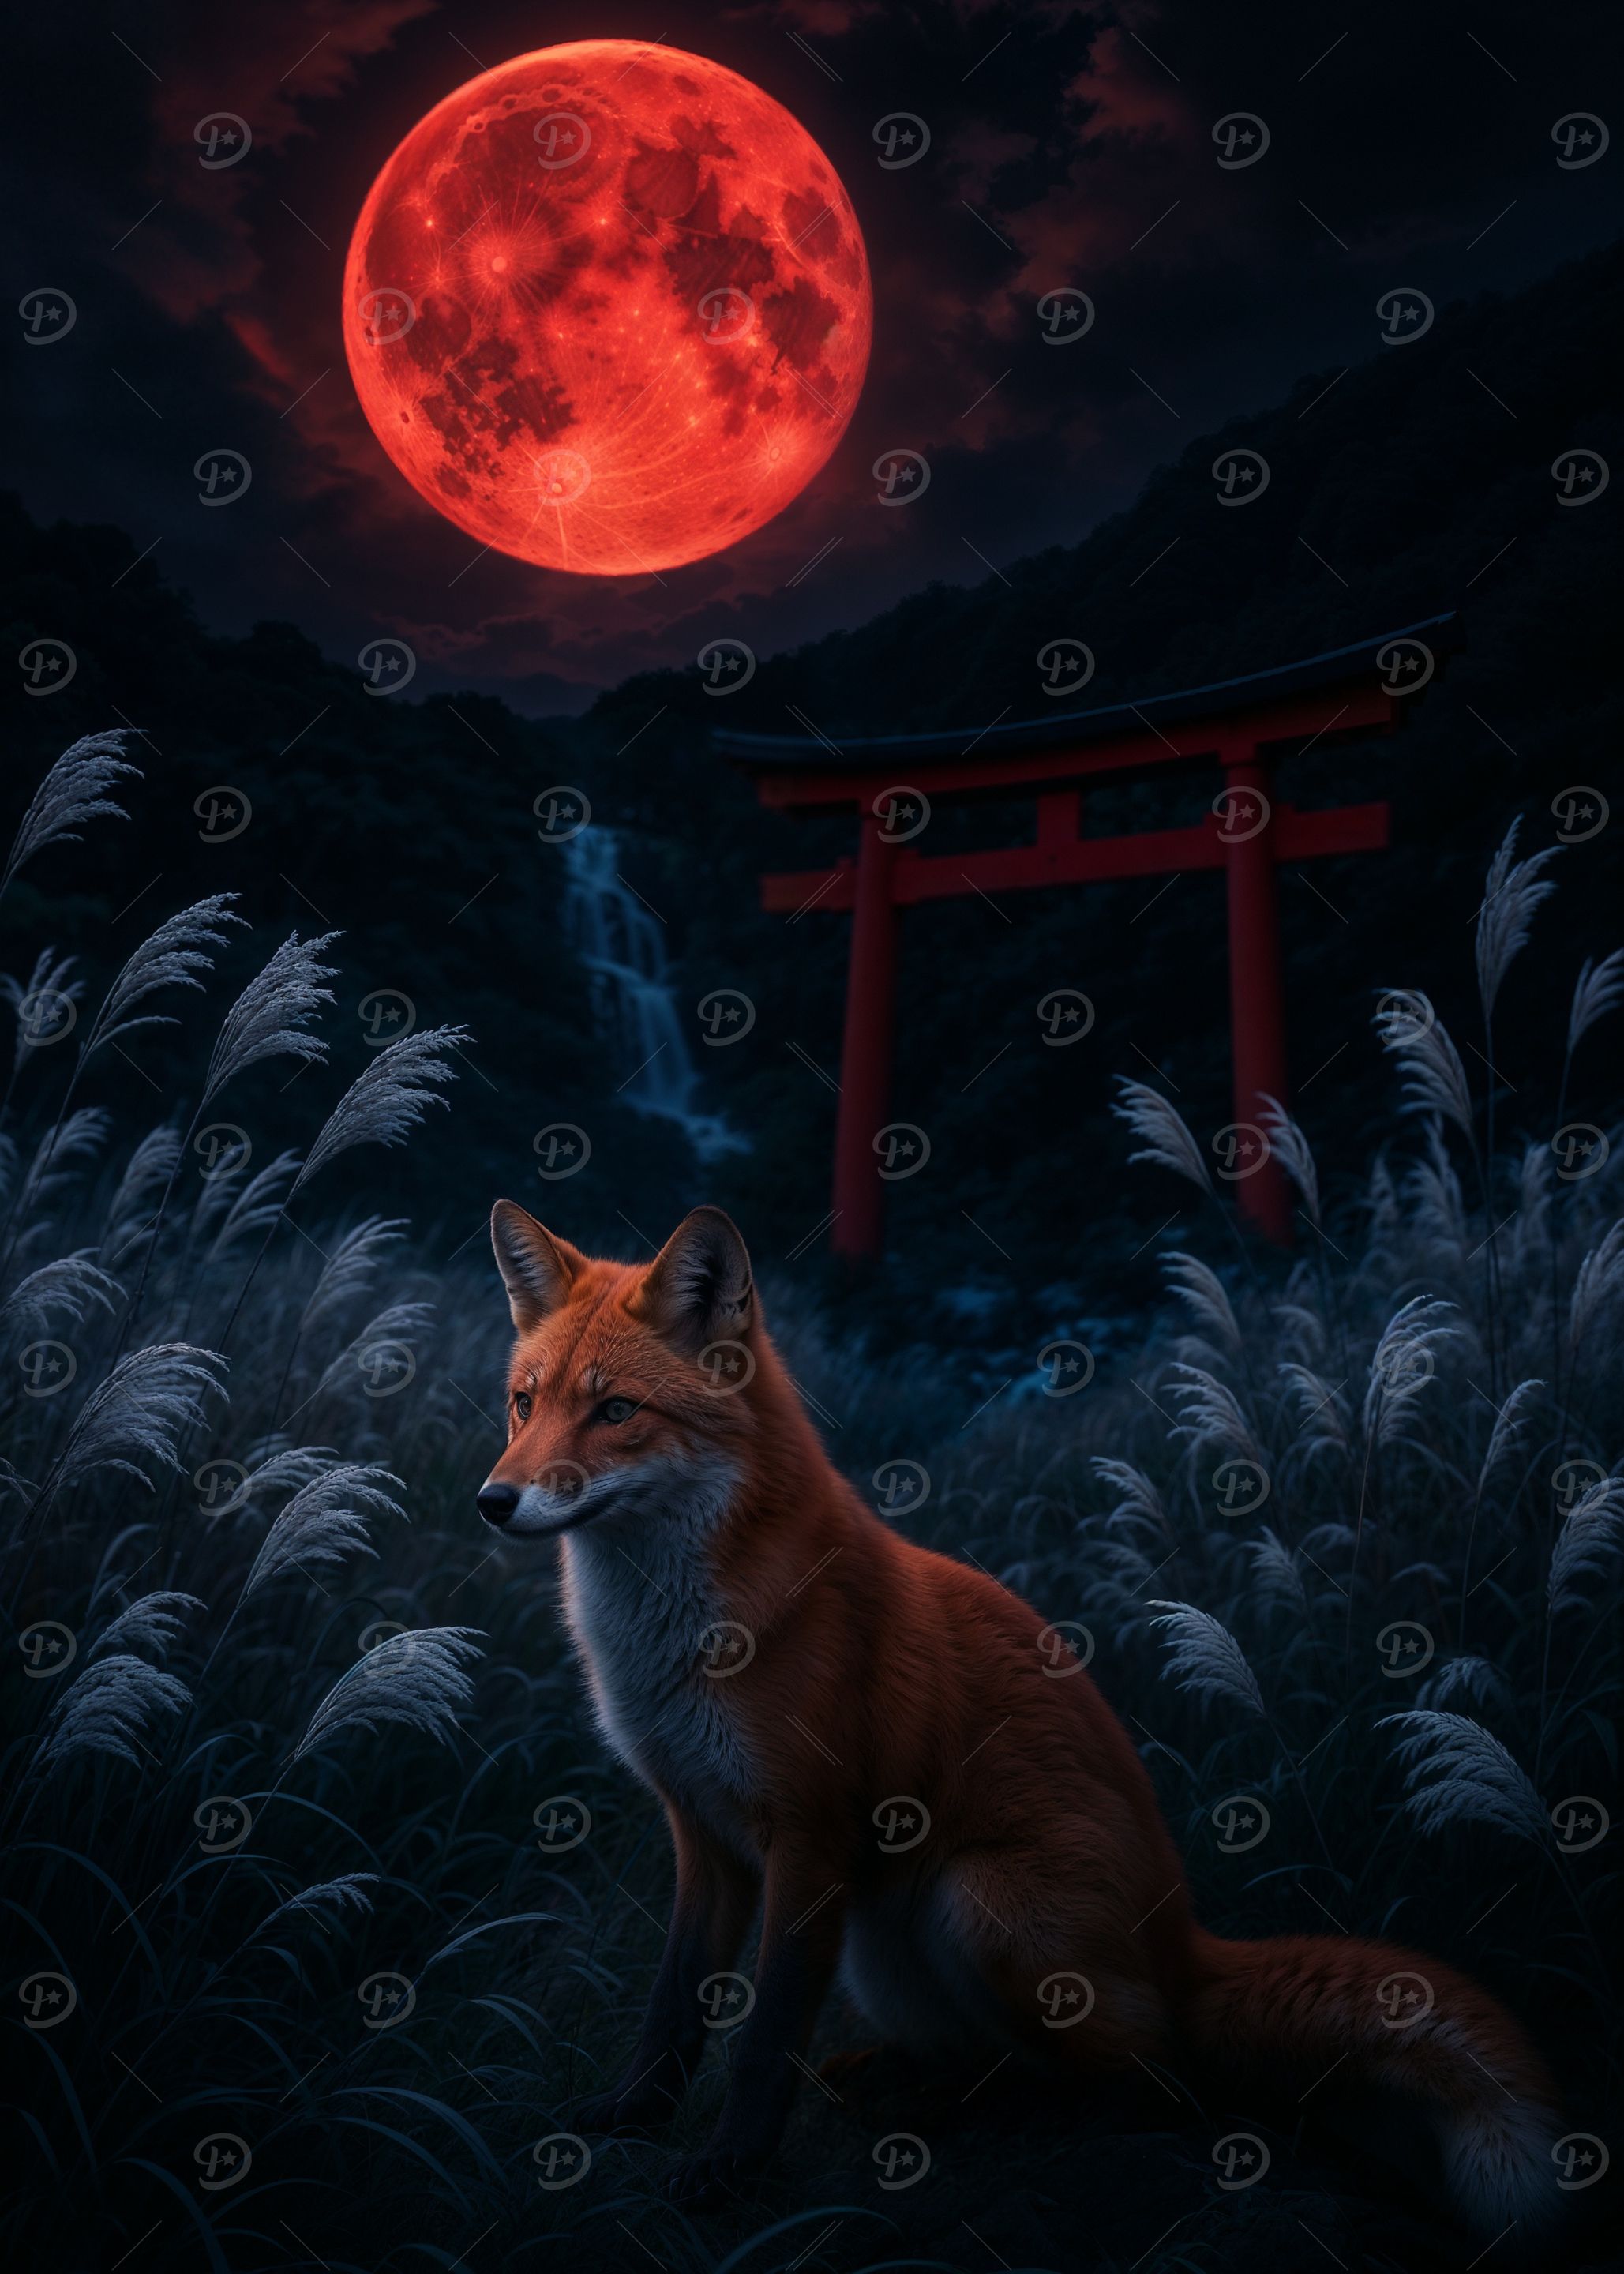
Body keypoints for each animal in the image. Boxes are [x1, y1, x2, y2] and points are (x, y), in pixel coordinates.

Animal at [477, 1198, 1567, 2231]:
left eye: (615, 1410)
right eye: (524, 1403)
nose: (493, 1500)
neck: (673, 1644)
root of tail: (1186, 1940)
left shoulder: (810, 1832)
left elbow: (765, 2031)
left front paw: (730, 2169)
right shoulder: (701, 1830)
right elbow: (673, 2006)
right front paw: (634, 2117)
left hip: (978, 1901)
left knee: (1163, 2085)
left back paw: (1004, 2113)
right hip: (883, 1947)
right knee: (996, 2056)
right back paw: (907, 2084)